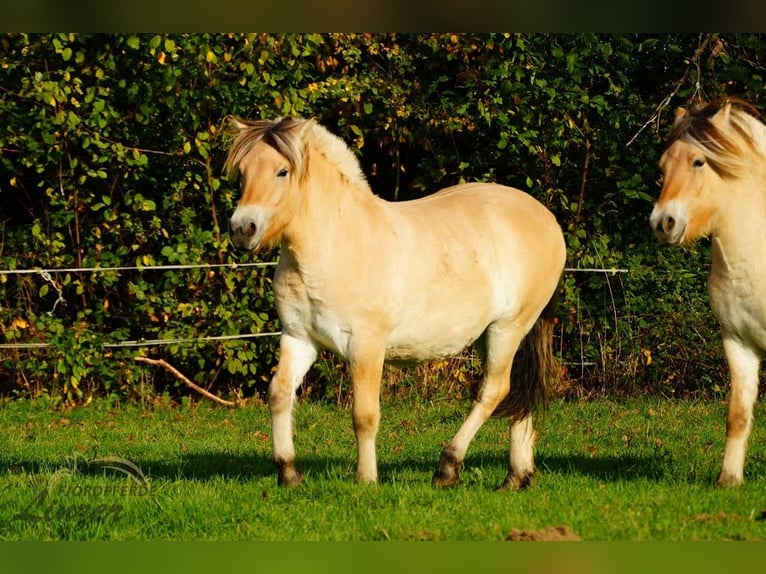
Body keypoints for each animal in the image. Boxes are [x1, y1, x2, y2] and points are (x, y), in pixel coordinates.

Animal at [226, 117, 566, 490]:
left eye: (282, 171)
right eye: (242, 171)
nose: (242, 228)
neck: (336, 244)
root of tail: (546, 217)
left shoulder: (366, 346)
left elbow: (364, 415)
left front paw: (366, 478)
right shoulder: (299, 338)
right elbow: (279, 393)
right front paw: (288, 473)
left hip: (509, 328)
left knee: (494, 390)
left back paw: (448, 468)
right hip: (492, 334)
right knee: (518, 392)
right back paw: (515, 477)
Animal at [650, 96, 766, 487]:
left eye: (699, 161)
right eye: (663, 166)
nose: (663, 223)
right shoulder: (738, 341)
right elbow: (738, 414)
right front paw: (729, 479)